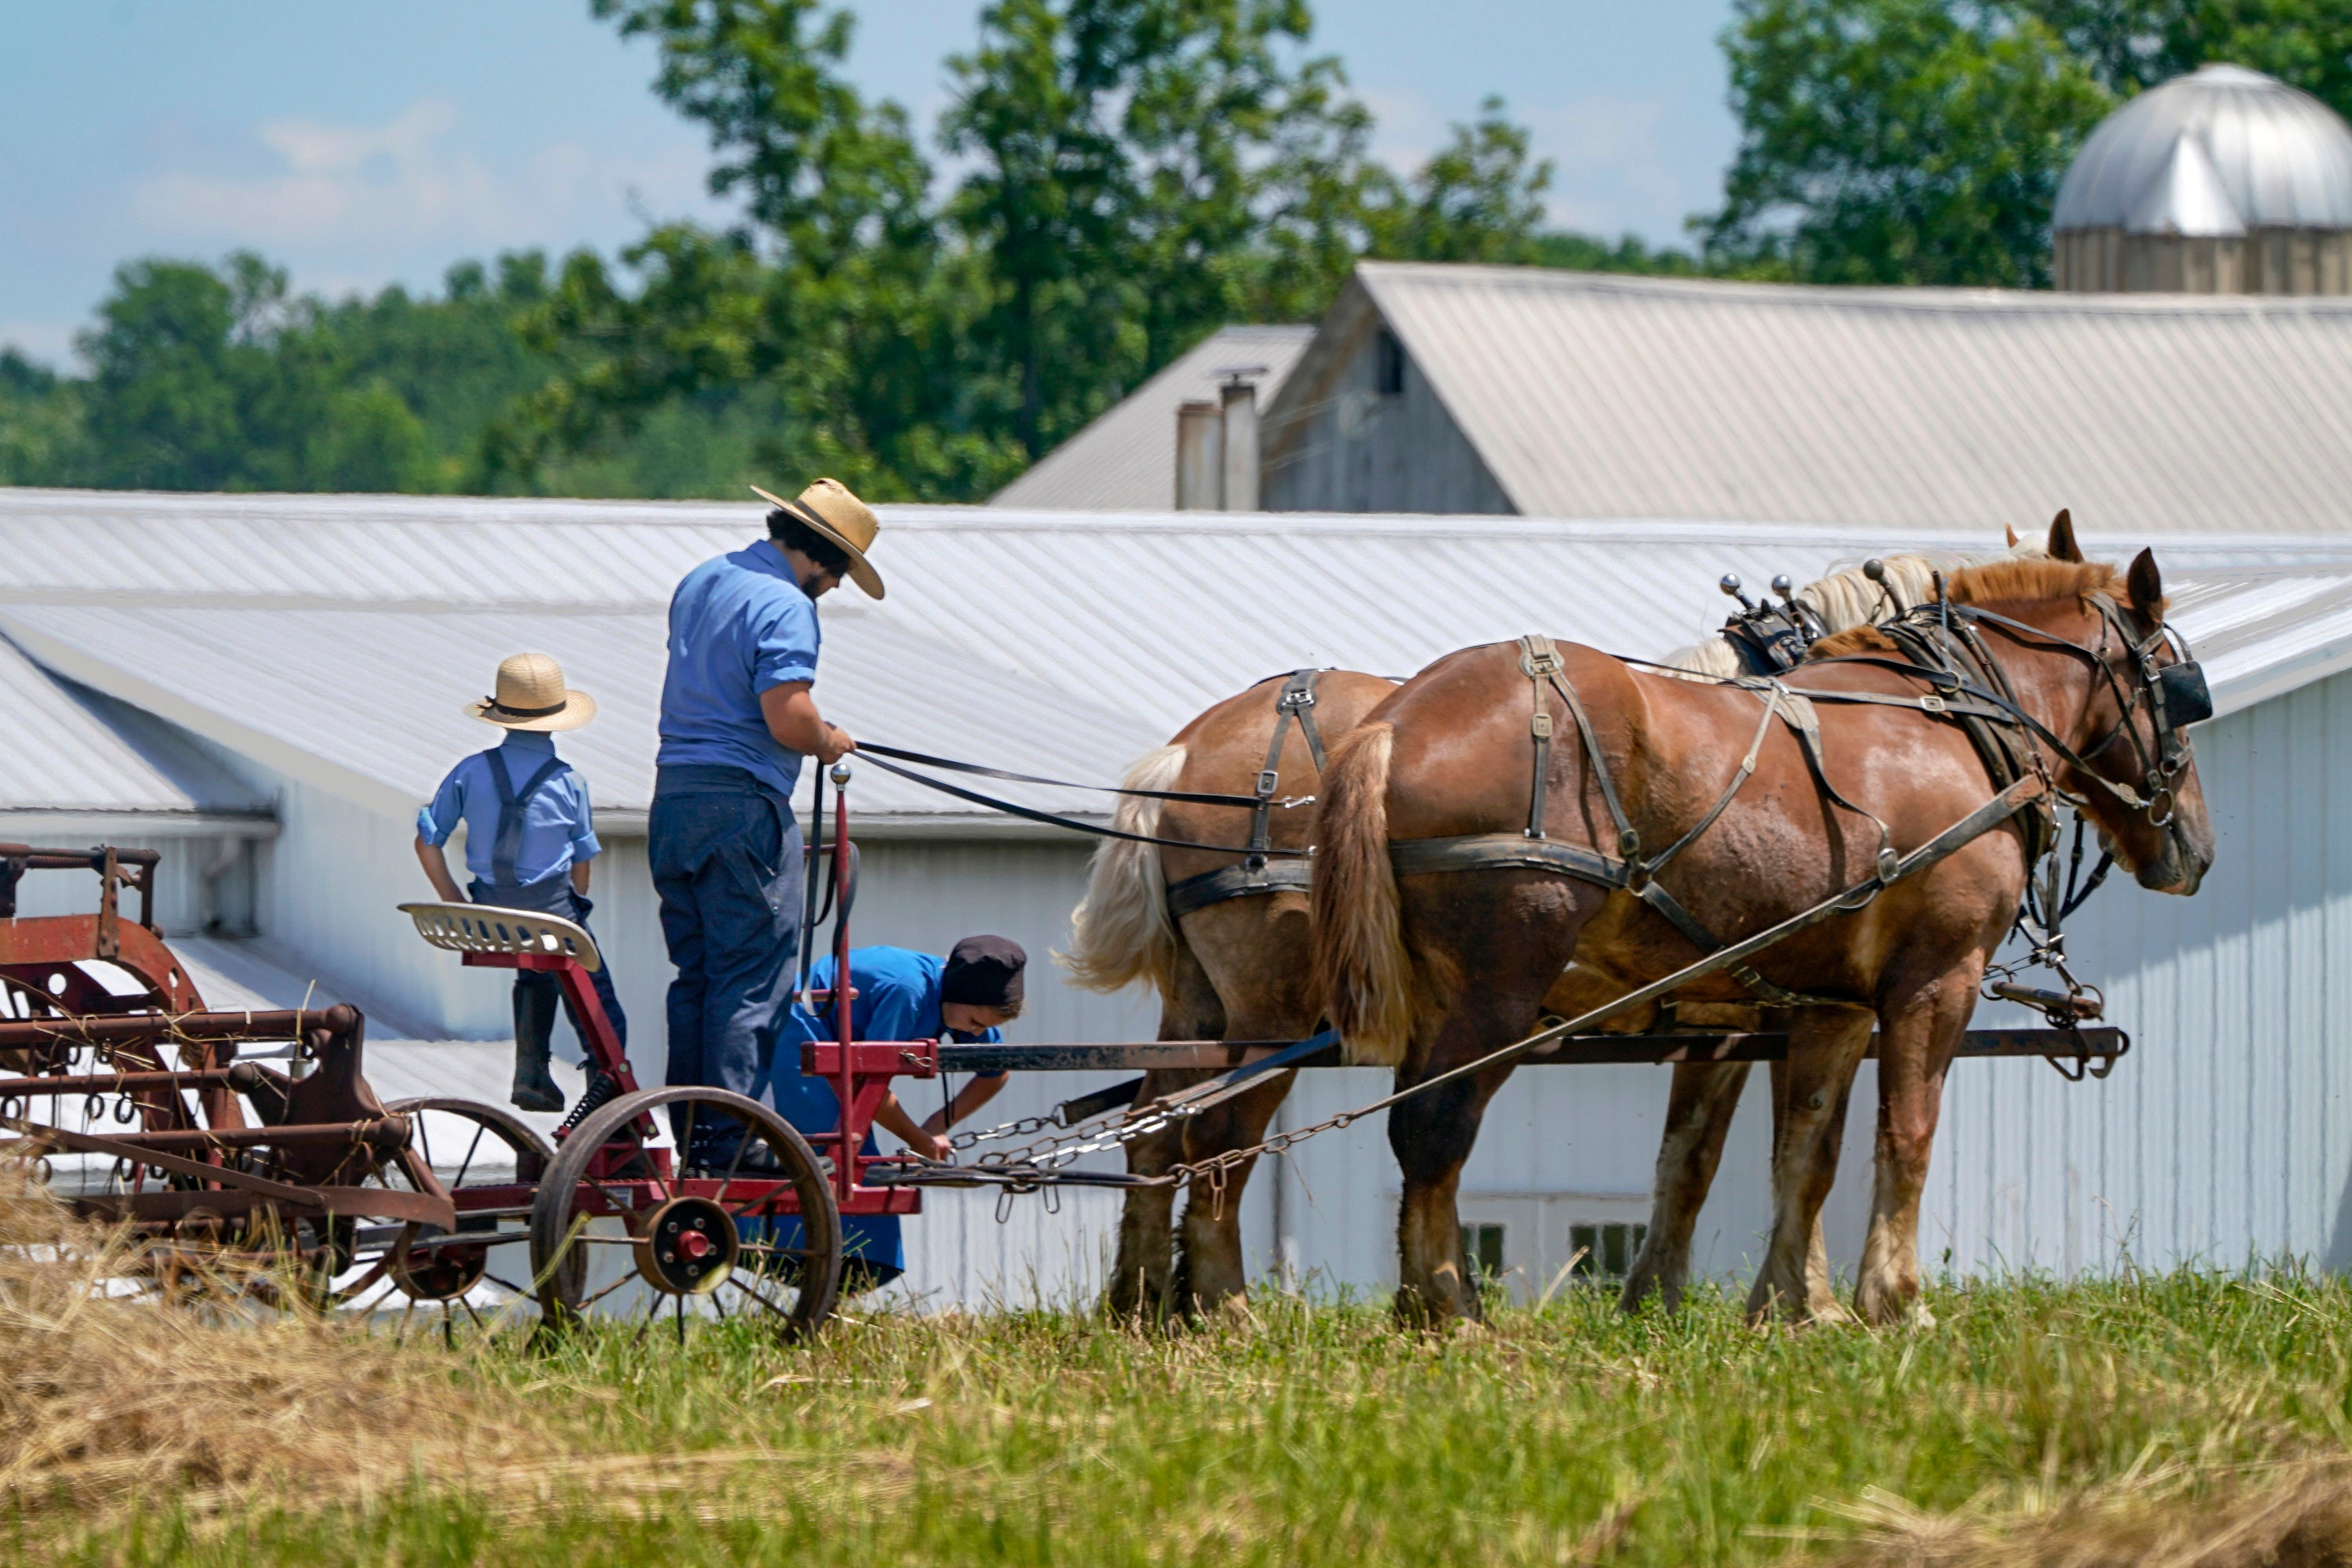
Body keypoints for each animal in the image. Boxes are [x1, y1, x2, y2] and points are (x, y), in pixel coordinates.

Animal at [1317, 521, 2211, 1335]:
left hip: (1443, 995)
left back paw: (1421, 1301)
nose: (2197, 847)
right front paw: (1896, 1301)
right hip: (1499, 986)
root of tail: (1398, 718)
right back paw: (1448, 1309)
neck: (1954, 723)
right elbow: (1906, 1133)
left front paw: (1790, 1304)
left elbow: (1793, 1155)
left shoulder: (1817, 1006)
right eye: (2179, 686)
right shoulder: (1935, 978)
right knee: (1434, 1127)